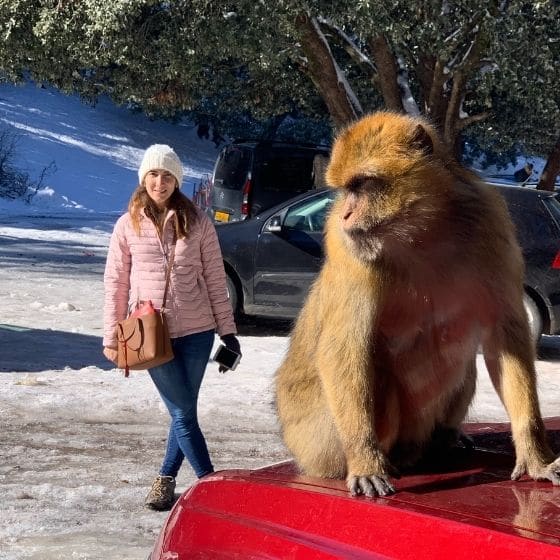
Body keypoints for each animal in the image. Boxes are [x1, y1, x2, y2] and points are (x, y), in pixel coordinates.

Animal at [276, 111, 560, 496]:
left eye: (361, 185)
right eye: (346, 190)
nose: (346, 215)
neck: (421, 233)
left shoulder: (491, 224)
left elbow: (504, 337)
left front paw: (533, 454)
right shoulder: (345, 244)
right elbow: (344, 346)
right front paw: (365, 460)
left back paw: (441, 441)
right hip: (315, 442)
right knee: (377, 376)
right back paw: (393, 457)